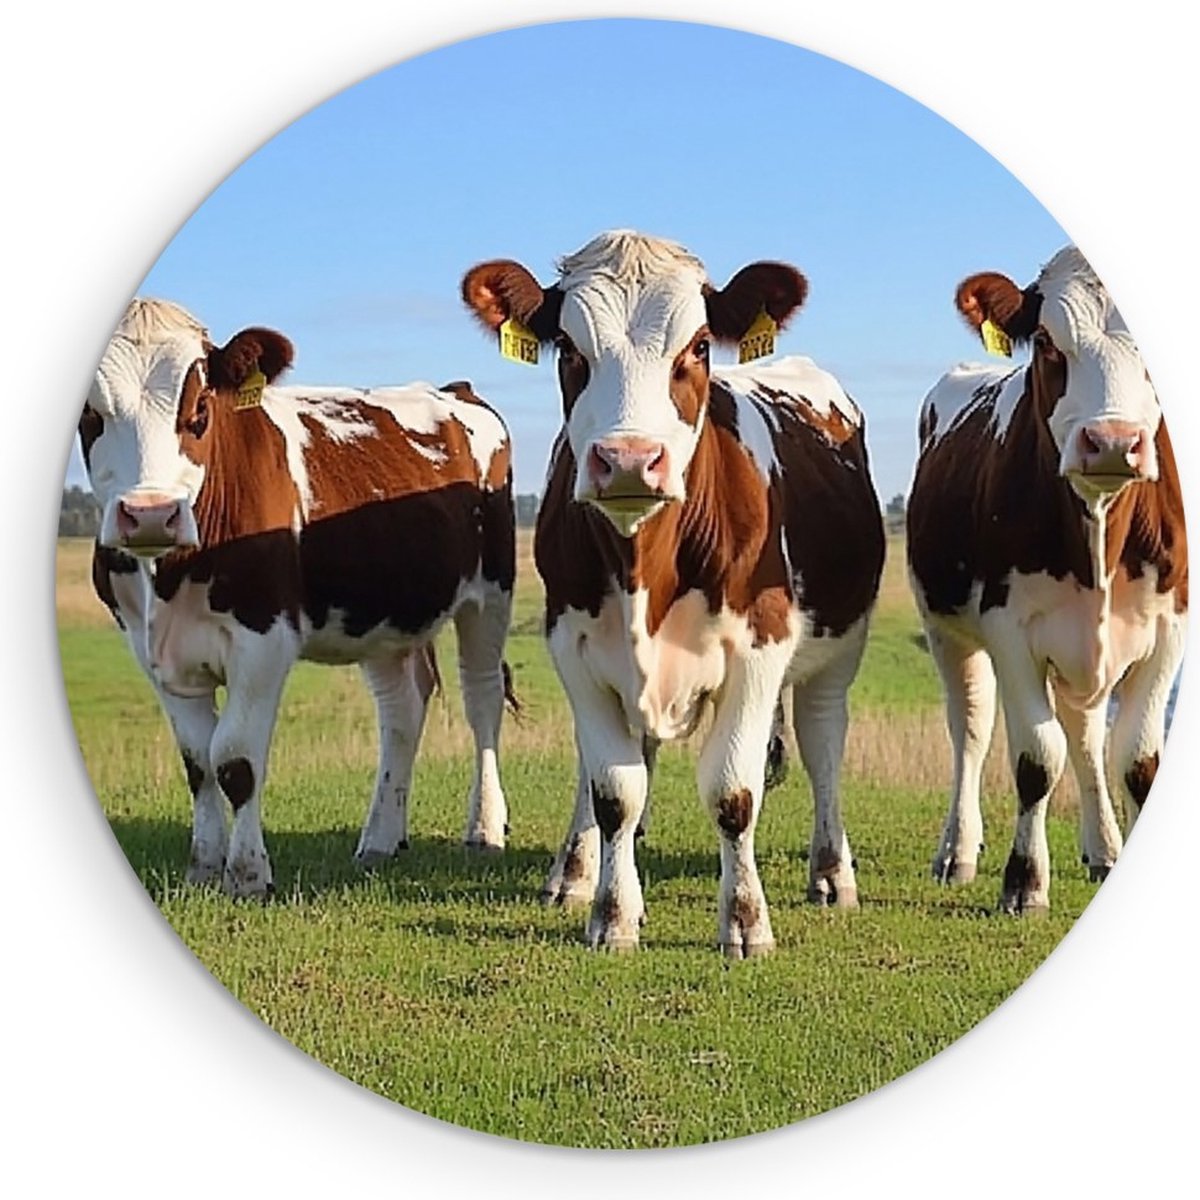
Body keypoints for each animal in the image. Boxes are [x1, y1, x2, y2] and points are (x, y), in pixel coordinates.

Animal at [82, 298, 516, 897]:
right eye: (90, 415)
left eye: (199, 408)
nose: (150, 513)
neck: (166, 577)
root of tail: (457, 389)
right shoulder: (152, 653)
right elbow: (197, 763)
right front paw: (203, 866)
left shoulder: (264, 640)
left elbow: (234, 759)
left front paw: (247, 874)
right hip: (382, 612)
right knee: (402, 708)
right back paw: (380, 839)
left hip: (490, 595)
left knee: (482, 699)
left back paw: (483, 830)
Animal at [462, 230, 885, 955]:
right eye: (568, 347)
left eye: (700, 346)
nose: (630, 460)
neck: (647, 571)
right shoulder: (573, 648)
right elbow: (614, 790)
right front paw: (611, 911)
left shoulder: (760, 649)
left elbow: (733, 792)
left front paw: (745, 921)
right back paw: (575, 871)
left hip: (838, 651)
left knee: (824, 742)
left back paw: (831, 874)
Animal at [907, 247, 1187, 913]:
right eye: (1045, 341)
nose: (1112, 442)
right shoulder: (1010, 631)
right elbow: (1037, 756)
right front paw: (1025, 882)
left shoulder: (1171, 629)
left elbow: (1135, 760)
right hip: (947, 631)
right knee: (971, 729)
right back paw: (957, 852)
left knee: (1086, 736)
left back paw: (1104, 851)